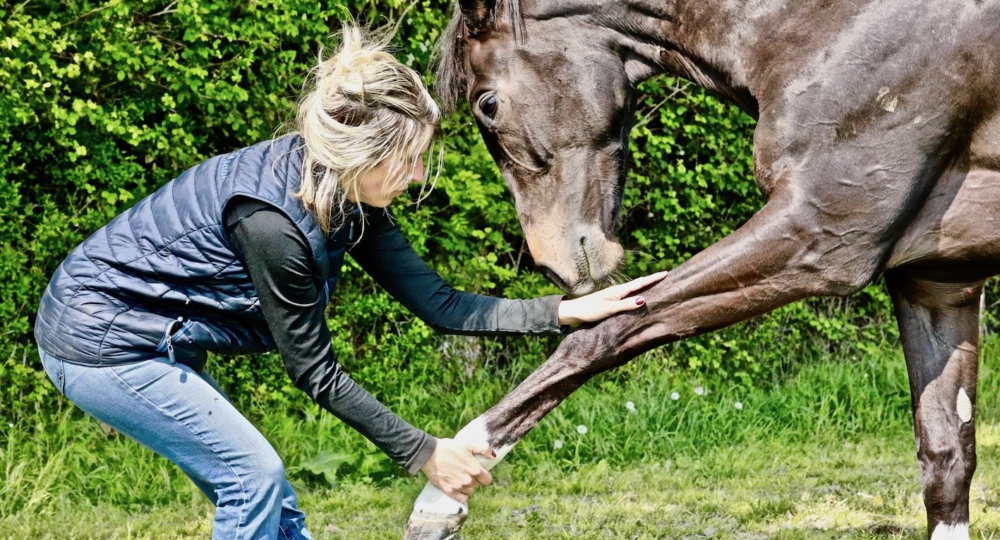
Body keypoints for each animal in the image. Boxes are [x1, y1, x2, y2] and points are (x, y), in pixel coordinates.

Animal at [402, 1, 1000, 536]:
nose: (555, 262)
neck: (828, 24)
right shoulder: (936, 284)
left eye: (487, 104)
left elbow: (603, 335)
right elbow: (946, 457)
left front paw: (442, 492)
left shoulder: (820, 237)